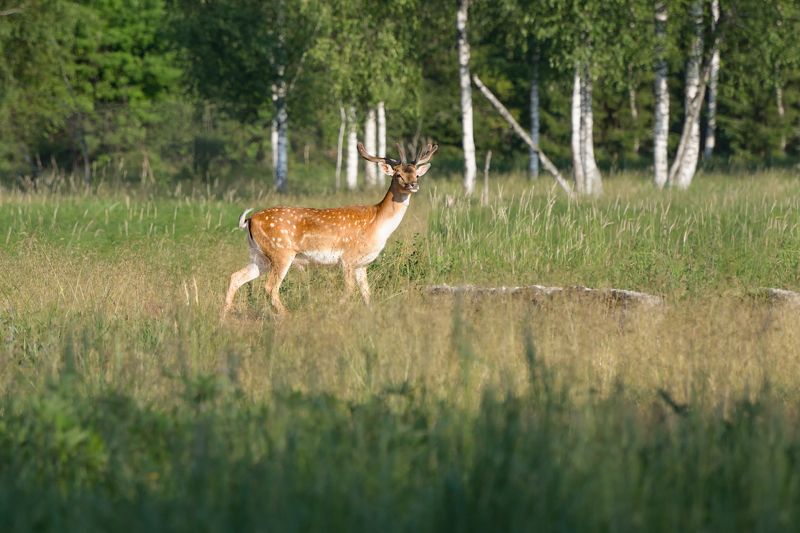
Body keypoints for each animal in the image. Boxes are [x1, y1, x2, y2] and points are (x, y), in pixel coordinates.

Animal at [222, 141, 438, 317]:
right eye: (398, 174)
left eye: (416, 174)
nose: (413, 184)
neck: (376, 224)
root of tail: (249, 220)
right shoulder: (348, 258)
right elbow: (349, 290)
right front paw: (336, 310)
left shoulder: (362, 264)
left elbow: (367, 294)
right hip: (280, 252)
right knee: (269, 287)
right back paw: (287, 316)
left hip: (260, 256)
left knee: (236, 277)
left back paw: (224, 318)